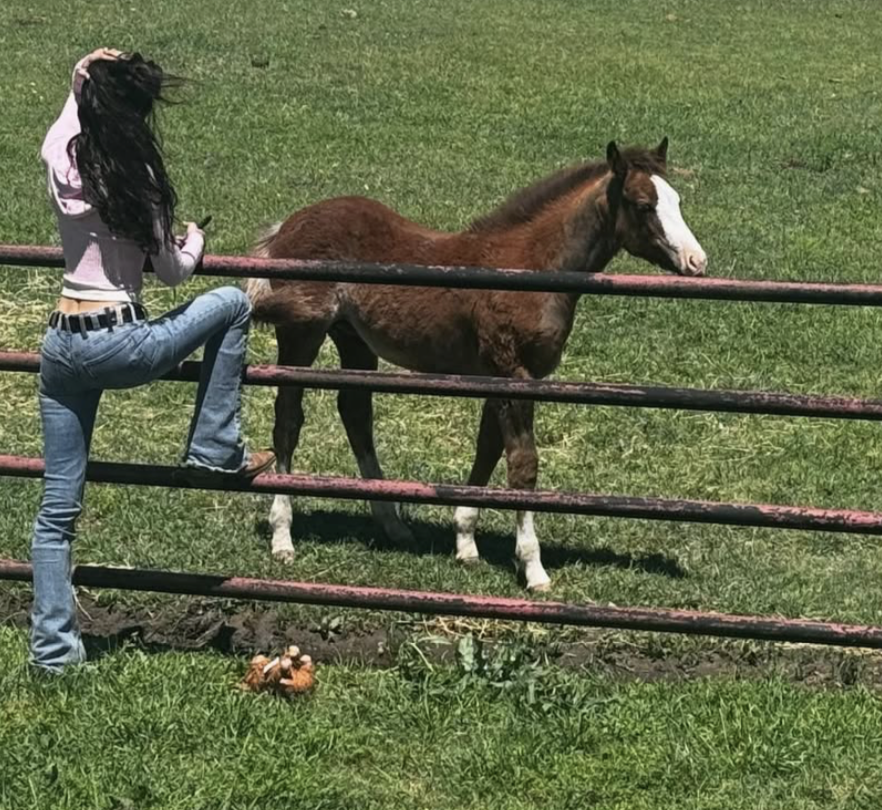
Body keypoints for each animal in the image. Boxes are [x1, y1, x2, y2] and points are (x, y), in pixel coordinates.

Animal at [245, 138, 707, 591]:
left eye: (677, 200)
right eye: (643, 204)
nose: (696, 262)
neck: (529, 266)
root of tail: (286, 225)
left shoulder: (501, 378)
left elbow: (488, 449)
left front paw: (466, 542)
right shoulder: (512, 373)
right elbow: (522, 465)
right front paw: (533, 568)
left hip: (354, 340)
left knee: (355, 414)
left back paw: (393, 525)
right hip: (301, 334)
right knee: (288, 420)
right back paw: (283, 536)